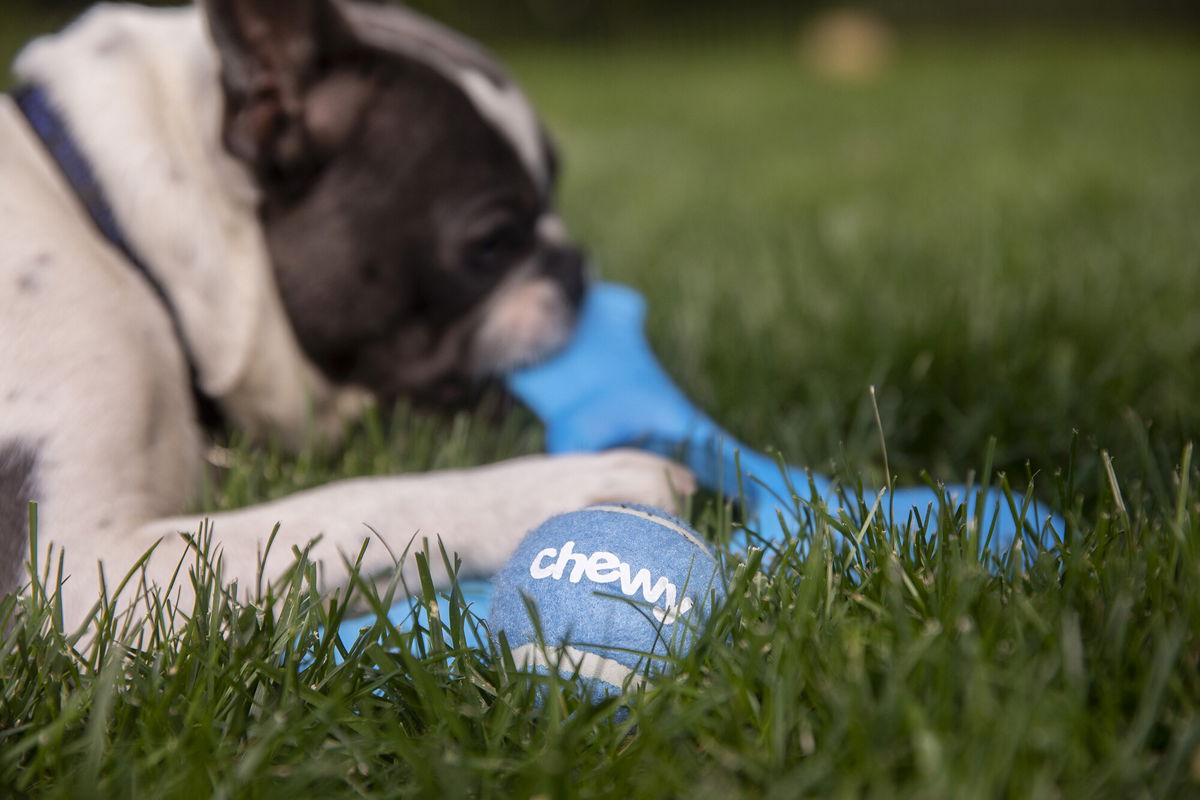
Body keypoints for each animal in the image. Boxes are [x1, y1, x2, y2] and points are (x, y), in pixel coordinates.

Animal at [0, 3, 696, 633]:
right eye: (493, 243)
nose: (573, 265)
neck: (114, 230)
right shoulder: (78, 576)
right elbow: (359, 502)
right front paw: (575, 487)